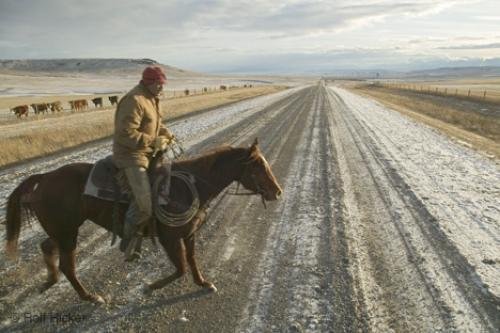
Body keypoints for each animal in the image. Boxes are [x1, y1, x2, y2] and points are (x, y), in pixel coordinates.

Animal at [4, 139, 282, 302]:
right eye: (257, 167)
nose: (277, 192)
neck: (189, 186)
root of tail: (45, 177)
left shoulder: (189, 234)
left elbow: (192, 261)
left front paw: (203, 283)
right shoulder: (170, 238)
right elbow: (181, 267)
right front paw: (151, 287)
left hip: (63, 231)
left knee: (46, 247)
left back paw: (50, 280)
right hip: (67, 233)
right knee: (67, 266)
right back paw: (90, 296)